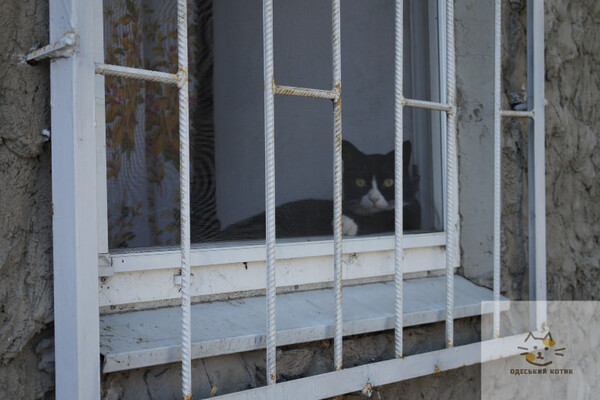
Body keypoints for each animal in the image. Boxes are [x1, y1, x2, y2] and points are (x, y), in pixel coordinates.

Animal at [218, 141, 420, 241]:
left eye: (389, 182)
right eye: (360, 181)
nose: (374, 199)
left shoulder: (413, 215)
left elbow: (386, 220)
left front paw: (346, 223)